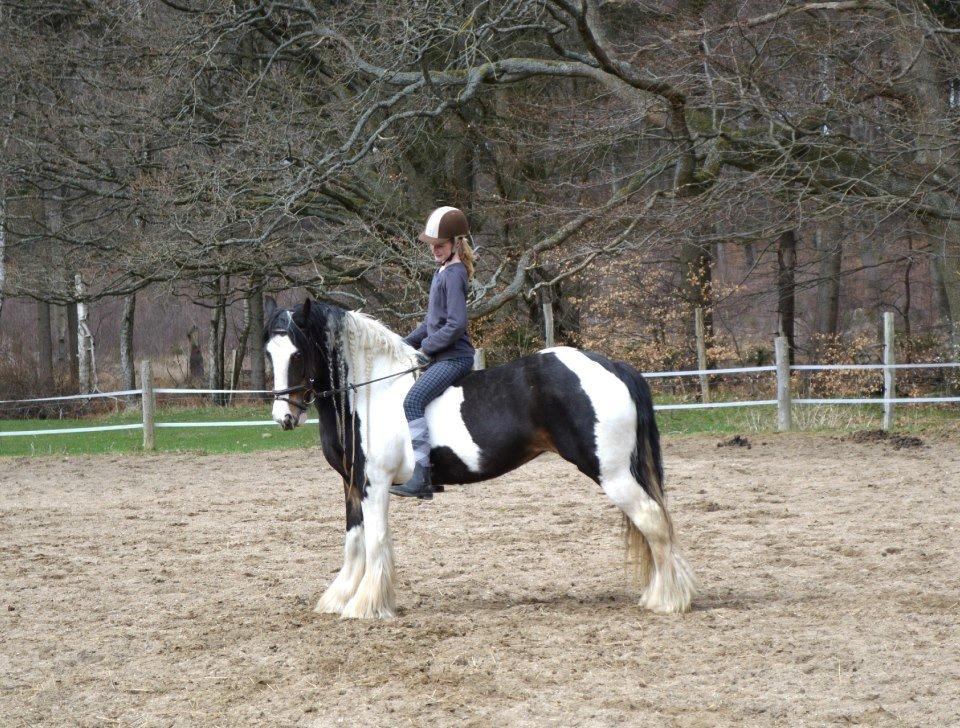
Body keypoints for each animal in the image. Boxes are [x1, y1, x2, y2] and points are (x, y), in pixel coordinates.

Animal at [266, 296, 692, 620]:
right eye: (270, 354)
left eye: (298, 354)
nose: (284, 417)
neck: (370, 393)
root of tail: (612, 365)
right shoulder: (353, 483)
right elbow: (354, 539)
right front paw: (339, 599)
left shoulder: (377, 483)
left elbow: (375, 540)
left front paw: (366, 606)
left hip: (612, 472)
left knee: (653, 520)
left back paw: (667, 600)